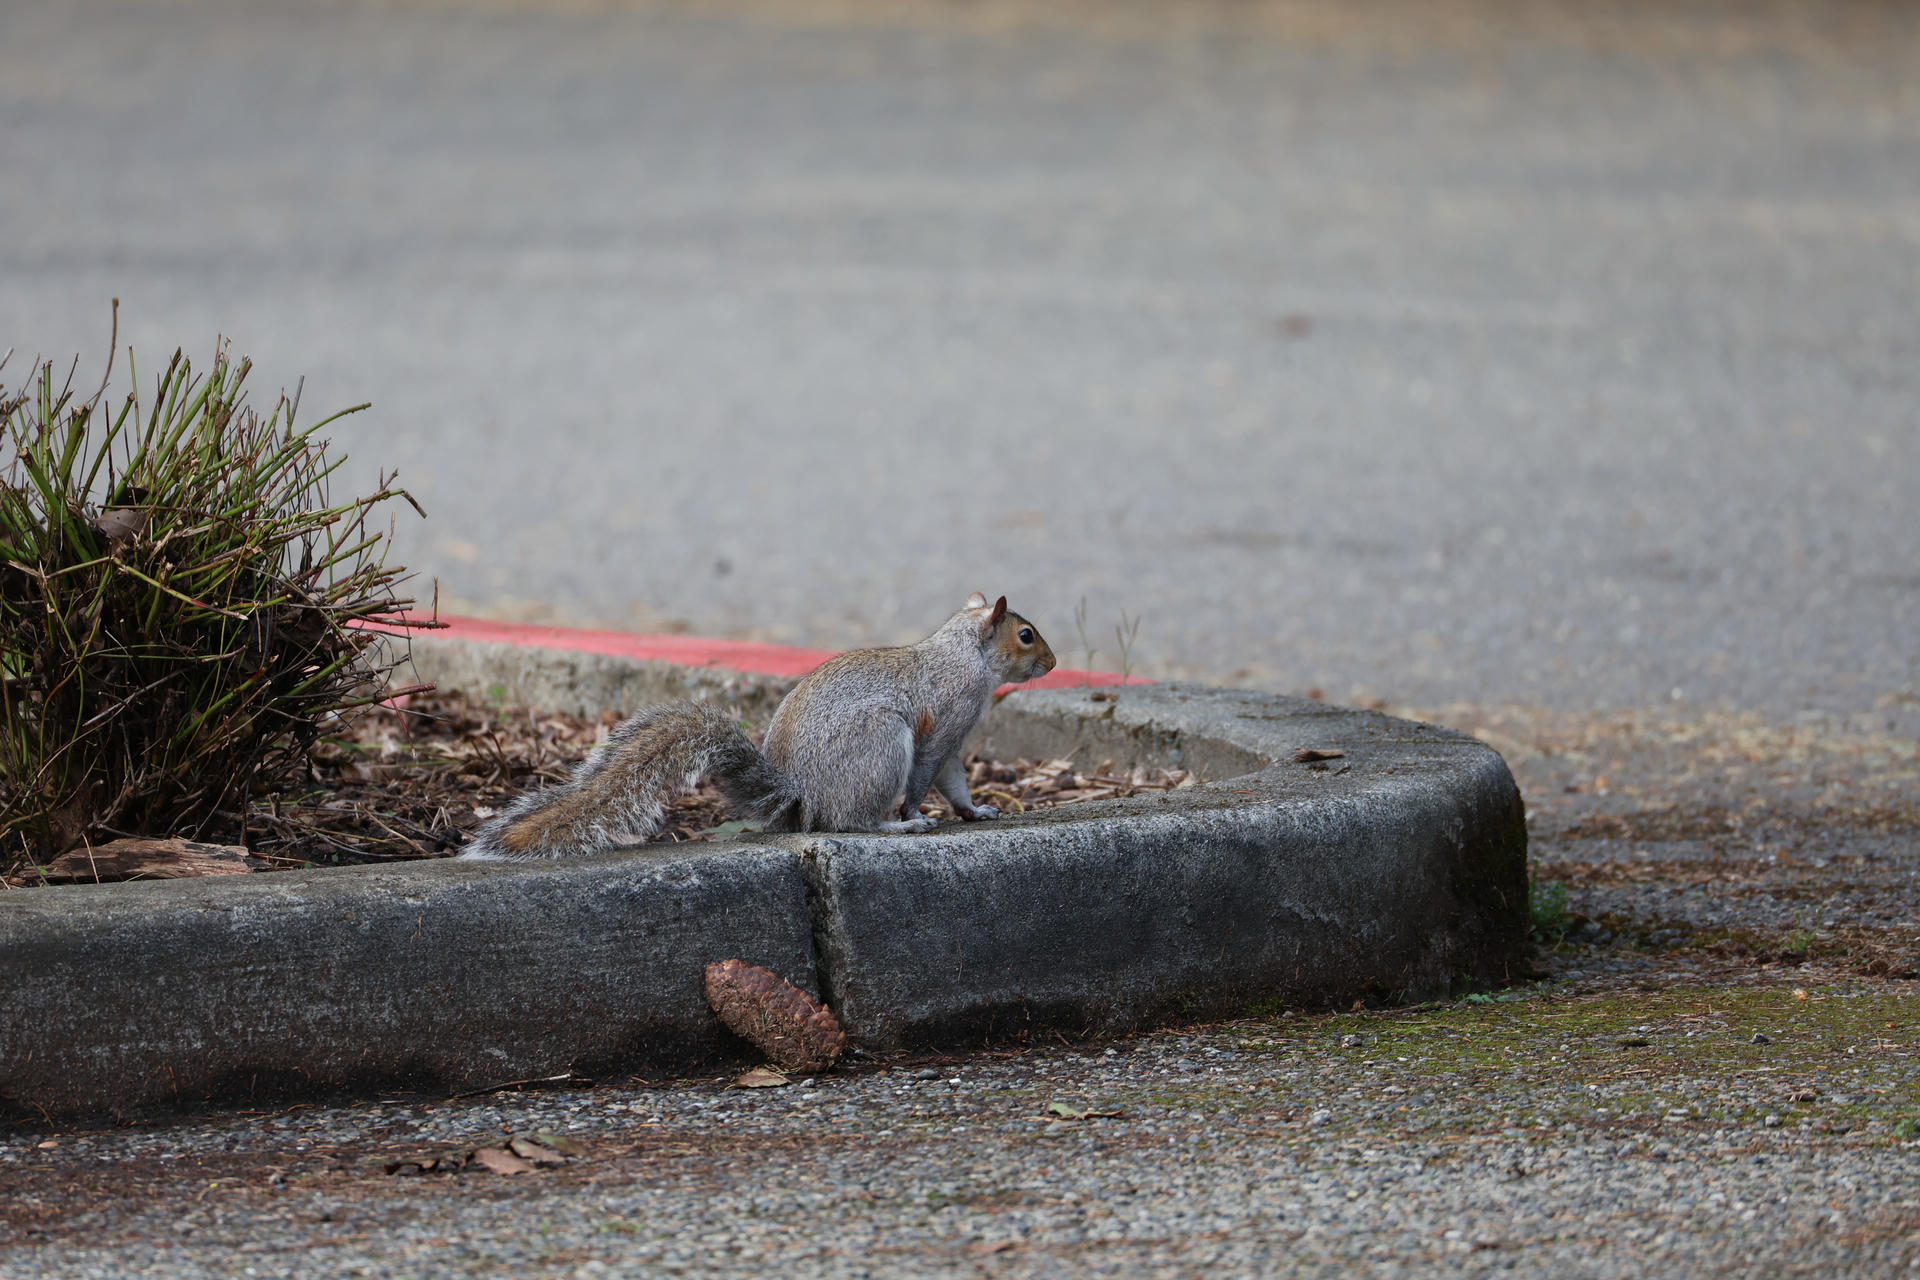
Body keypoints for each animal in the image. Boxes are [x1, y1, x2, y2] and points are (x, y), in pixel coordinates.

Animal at [460, 593, 1056, 860]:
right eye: (1026, 635)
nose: (1052, 663)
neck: (964, 655)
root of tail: (800, 794)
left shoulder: (956, 742)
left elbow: (955, 782)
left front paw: (976, 811)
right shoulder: (944, 725)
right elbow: (924, 779)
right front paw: (915, 814)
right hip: (879, 745)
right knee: (848, 821)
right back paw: (893, 827)